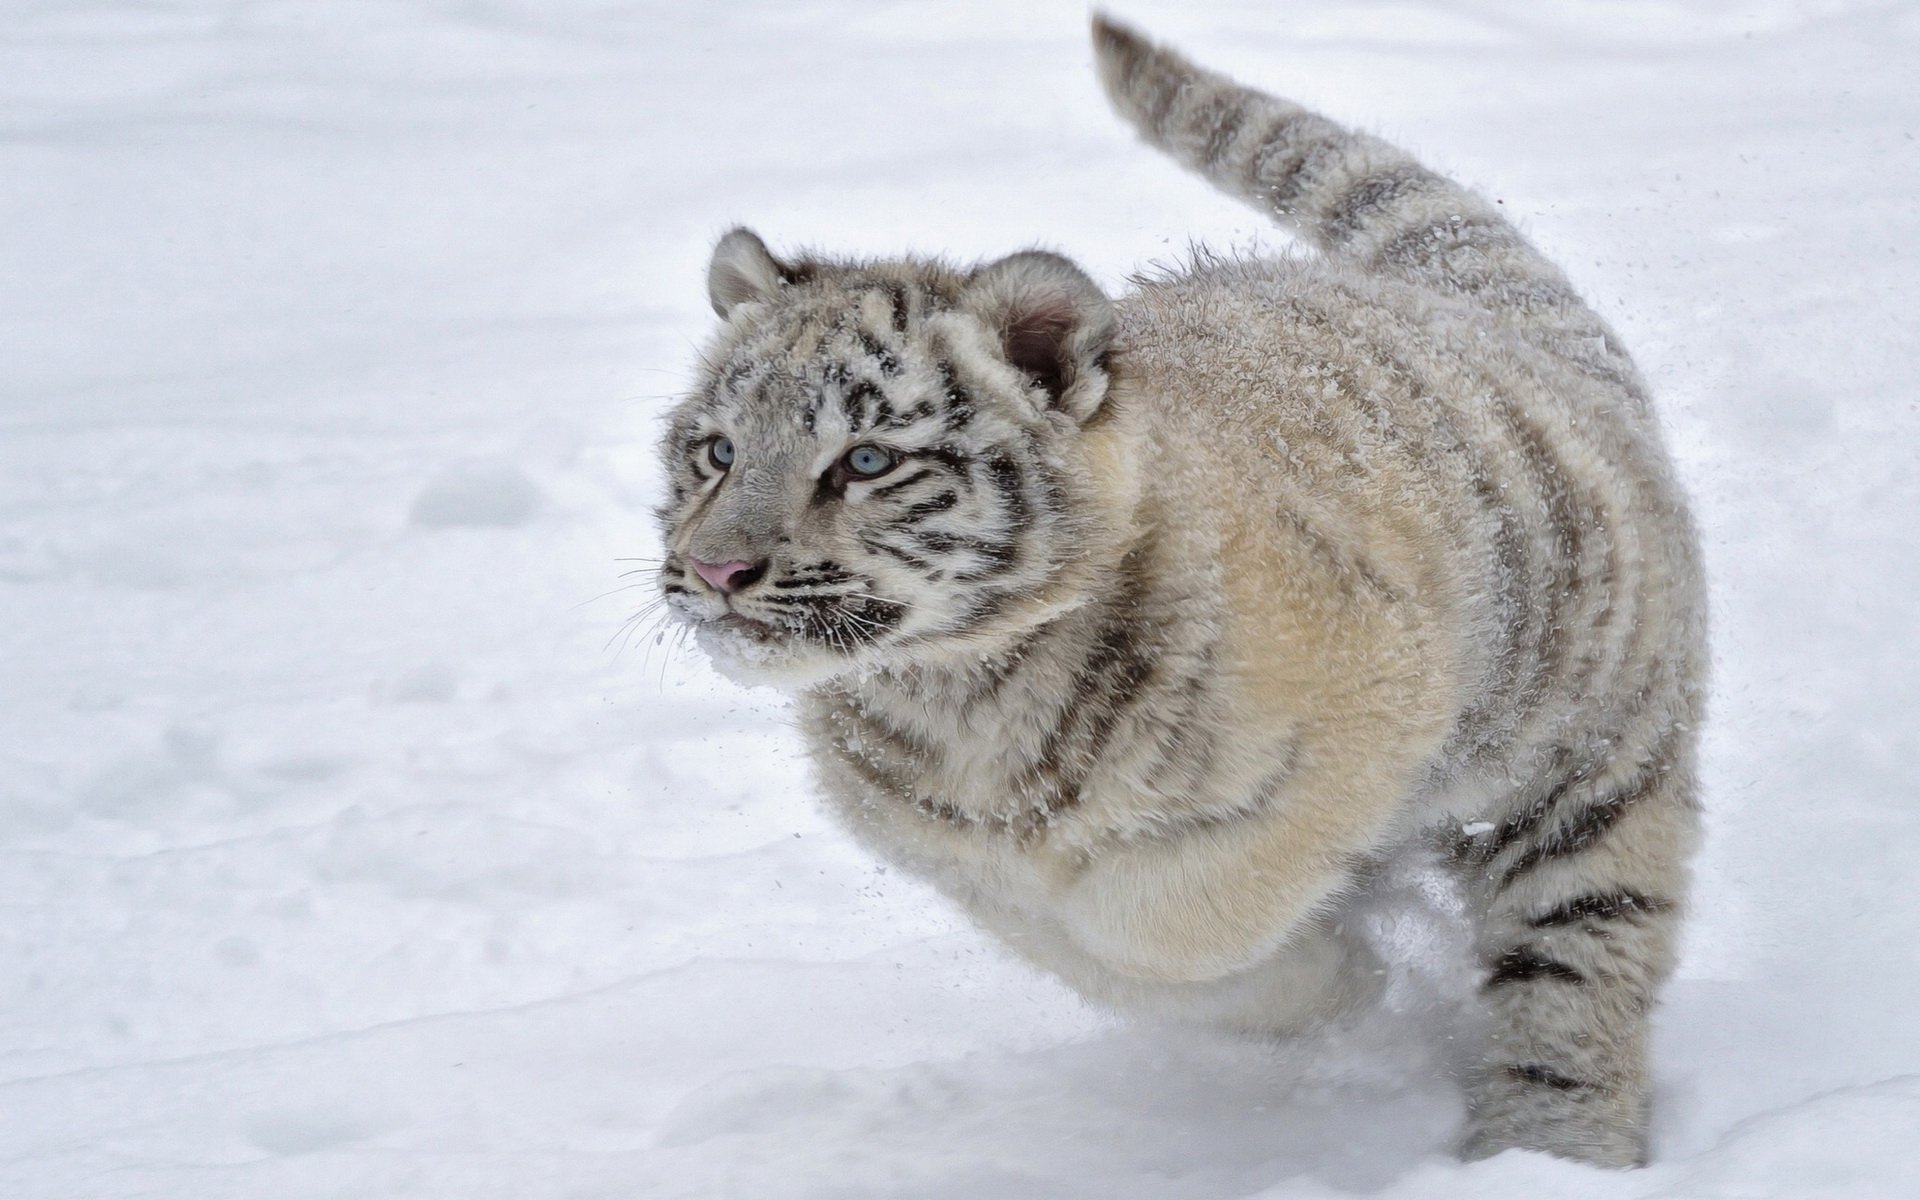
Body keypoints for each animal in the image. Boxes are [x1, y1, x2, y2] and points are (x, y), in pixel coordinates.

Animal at [652, 16, 1706, 1169]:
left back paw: (1549, 1154)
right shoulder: (969, 866)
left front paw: (1345, 976)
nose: (716, 570)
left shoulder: (1362, 720)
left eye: (867, 461)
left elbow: (1173, 918)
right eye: (718, 452)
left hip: (1589, 776)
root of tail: (1485, 318)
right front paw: (1328, 980)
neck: (962, 693)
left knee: (1574, 979)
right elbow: (1110, 954)